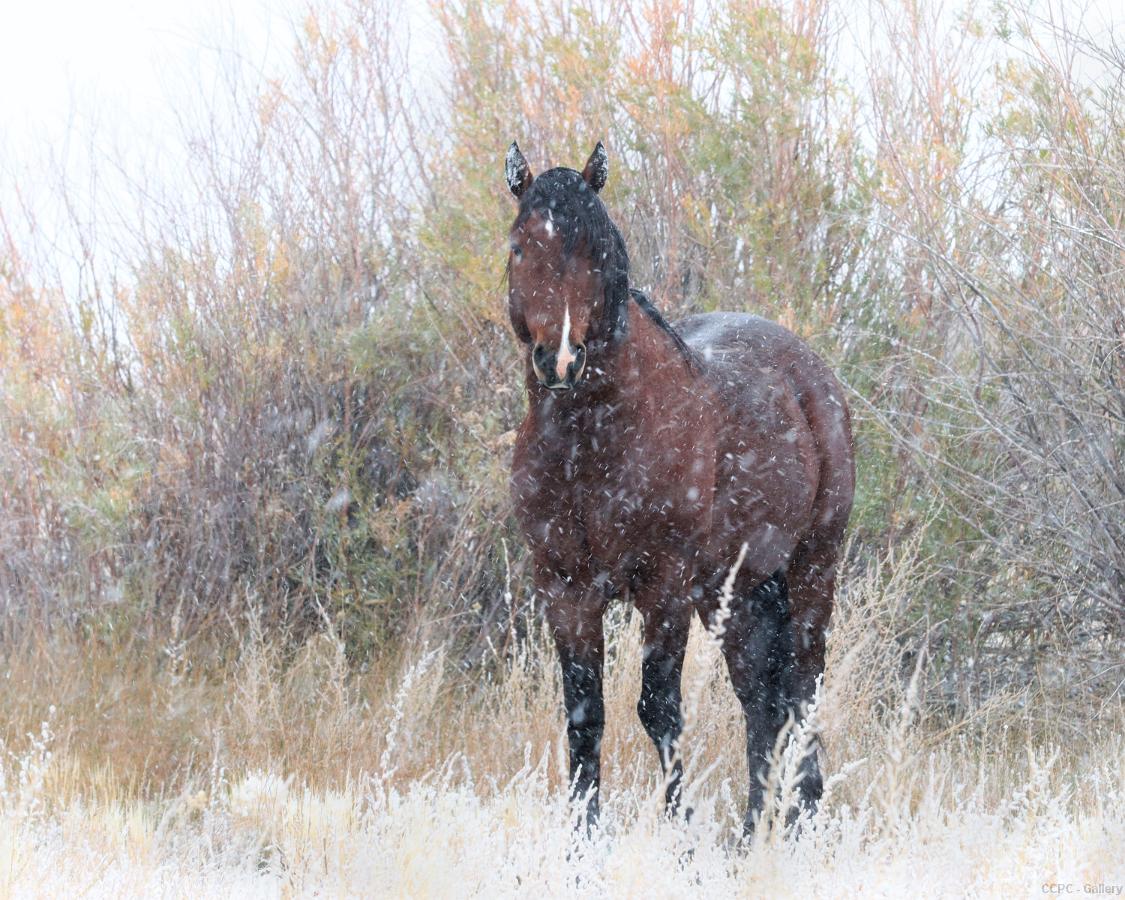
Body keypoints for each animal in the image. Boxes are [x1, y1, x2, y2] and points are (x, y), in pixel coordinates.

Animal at [506, 140, 855, 837]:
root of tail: (813, 376)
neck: (592, 442)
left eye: (594, 251)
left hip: (812, 571)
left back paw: (796, 826)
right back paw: (753, 835)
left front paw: (681, 837)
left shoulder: (662, 585)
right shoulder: (563, 587)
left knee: (800, 693)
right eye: (521, 247)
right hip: (739, 595)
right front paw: (583, 843)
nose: (559, 359)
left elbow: (658, 709)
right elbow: (585, 715)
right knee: (761, 703)